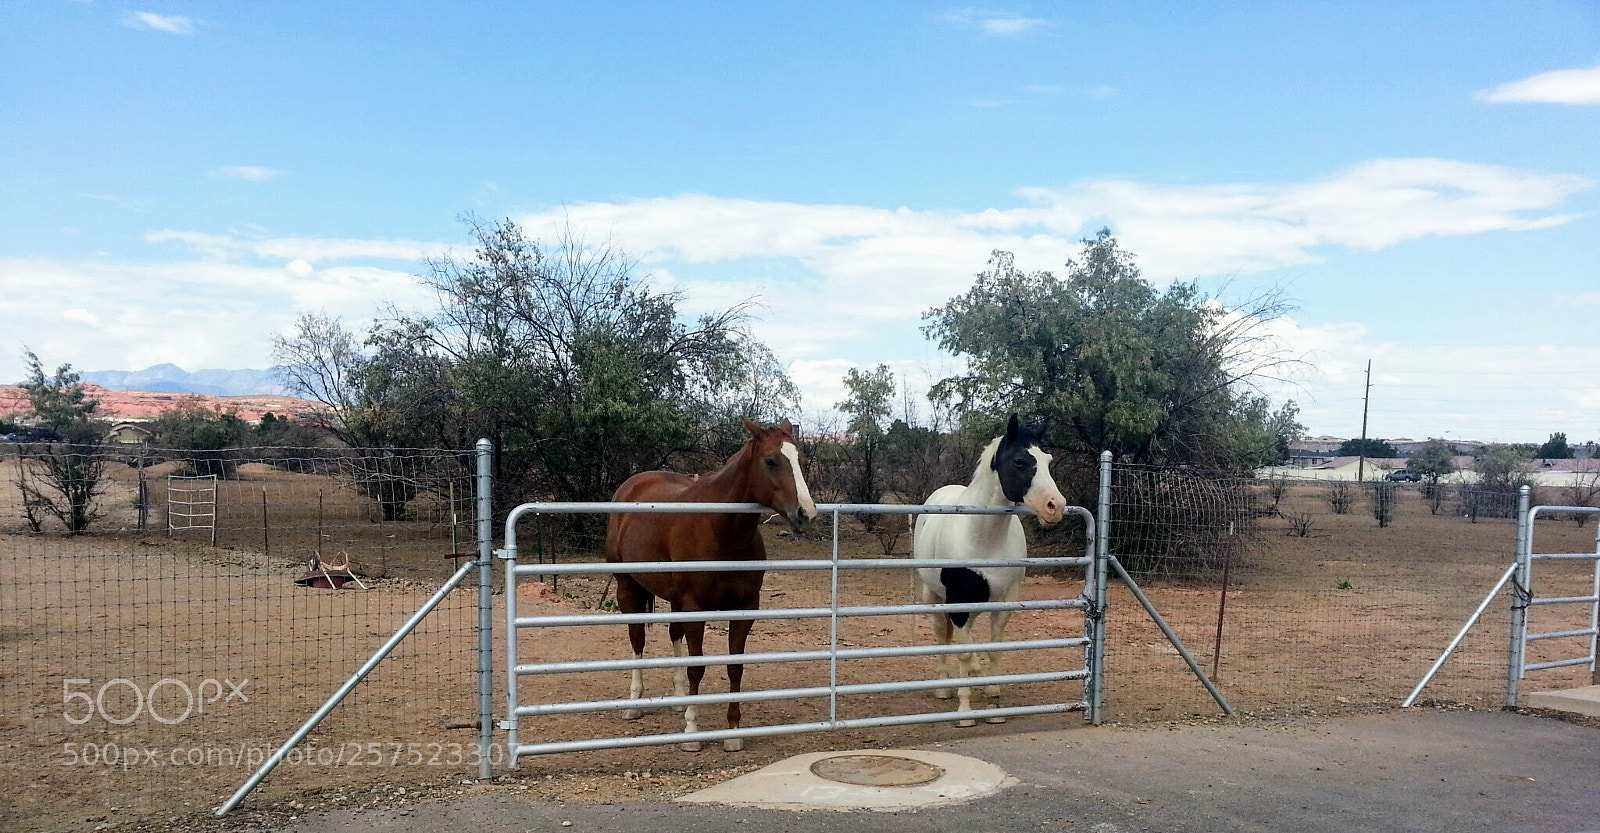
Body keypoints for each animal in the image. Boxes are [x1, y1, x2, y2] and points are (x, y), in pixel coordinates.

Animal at [604, 418, 817, 751]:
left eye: (802, 460)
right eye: (770, 461)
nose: (805, 513)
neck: (719, 529)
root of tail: (633, 484)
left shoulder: (744, 609)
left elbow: (734, 667)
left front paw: (733, 733)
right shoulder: (696, 607)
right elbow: (697, 667)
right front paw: (692, 732)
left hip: (674, 600)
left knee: (673, 635)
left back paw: (679, 698)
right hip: (628, 587)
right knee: (637, 640)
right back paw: (634, 705)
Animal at [912, 414, 1066, 726]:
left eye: (1047, 460)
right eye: (1019, 461)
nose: (1055, 507)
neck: (982, 536)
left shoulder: (1004, 601)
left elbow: (994, 650)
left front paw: (994, 703)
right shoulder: (958, 603)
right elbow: (965, 652)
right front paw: (965, 710)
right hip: (933, 596)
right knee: (943, 636)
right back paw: (944, 688)